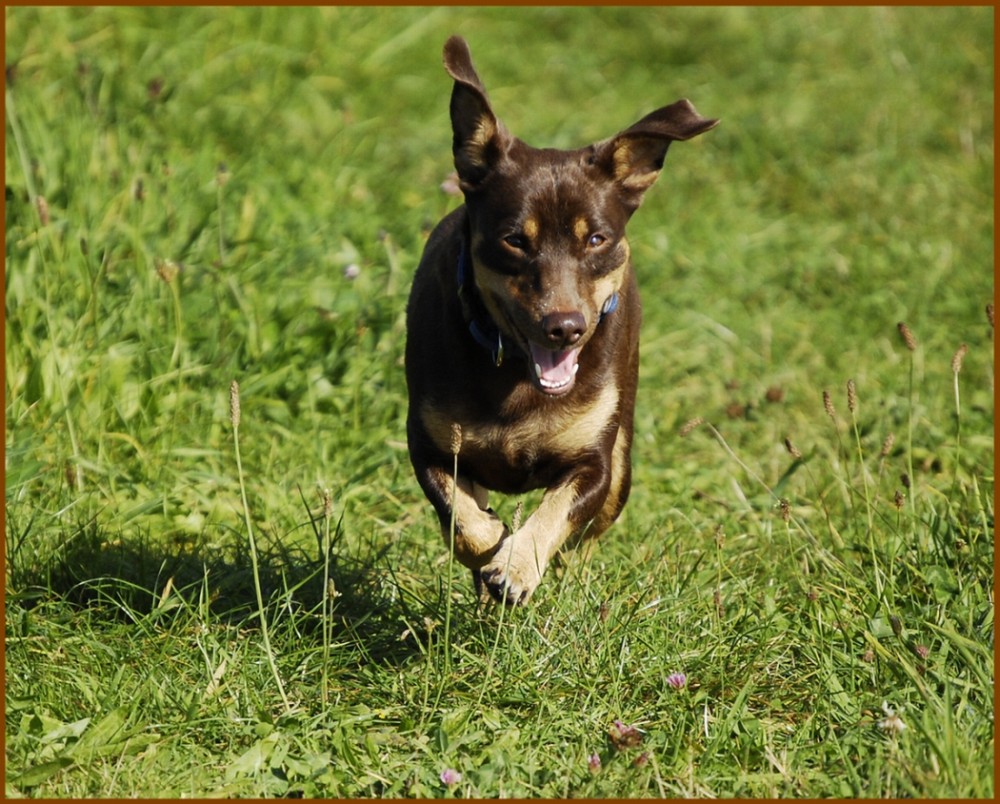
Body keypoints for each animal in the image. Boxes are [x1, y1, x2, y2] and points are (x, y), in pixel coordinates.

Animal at [402, 36, 716, 604]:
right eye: (514, 239)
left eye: (595, 238)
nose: (565, 326)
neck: (516, 374)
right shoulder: (430, 443)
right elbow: (463, 520)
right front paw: (492, 545)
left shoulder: (595, 462)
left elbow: (557, 513)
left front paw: (517, 564)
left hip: (623, 461)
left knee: (587, 535)